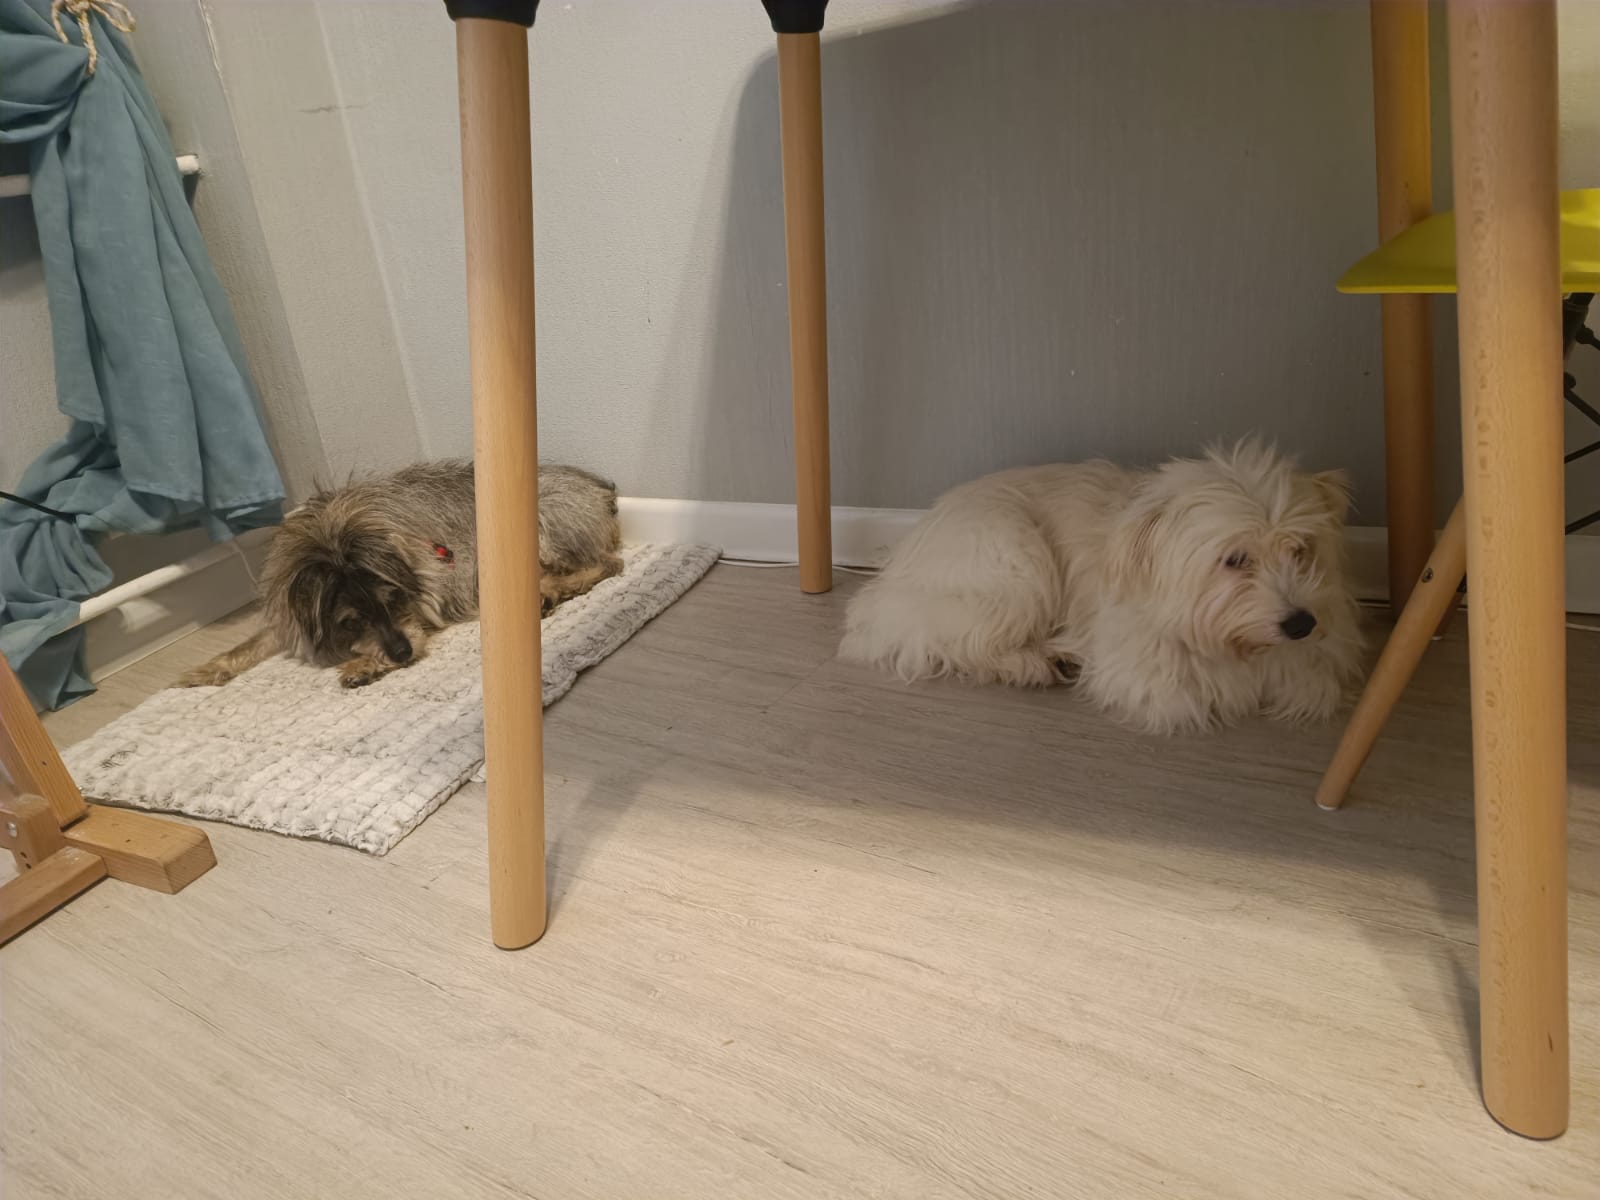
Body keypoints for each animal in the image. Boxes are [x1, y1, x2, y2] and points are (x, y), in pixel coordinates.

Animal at [178, 460, 622, 689]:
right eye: (350, 621)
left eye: (392, 598)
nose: (403, 654)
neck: (334, 536)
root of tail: (602, 490)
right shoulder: (290, 616)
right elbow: (254, 641)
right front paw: (207, 669)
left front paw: (363, 665)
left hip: (543, 527)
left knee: (605, 564)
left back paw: (552, 592)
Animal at [840, 440, 1363, 734]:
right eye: (1235, 559)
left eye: (1300, 549)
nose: (1300, 623)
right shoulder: (1140, 673)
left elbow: (1308, 683)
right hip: (1018, 568)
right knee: (947, 639)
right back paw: (1029, 663)